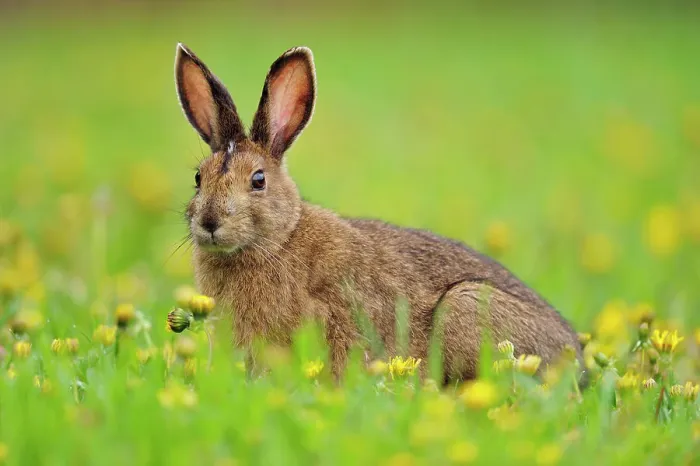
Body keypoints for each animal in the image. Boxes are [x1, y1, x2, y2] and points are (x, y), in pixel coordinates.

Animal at [174, 43, 585, 383]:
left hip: (466, 305)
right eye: (198, 178)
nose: (210, 223)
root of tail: (578, 361)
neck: (279, 238)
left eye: (258, 180)